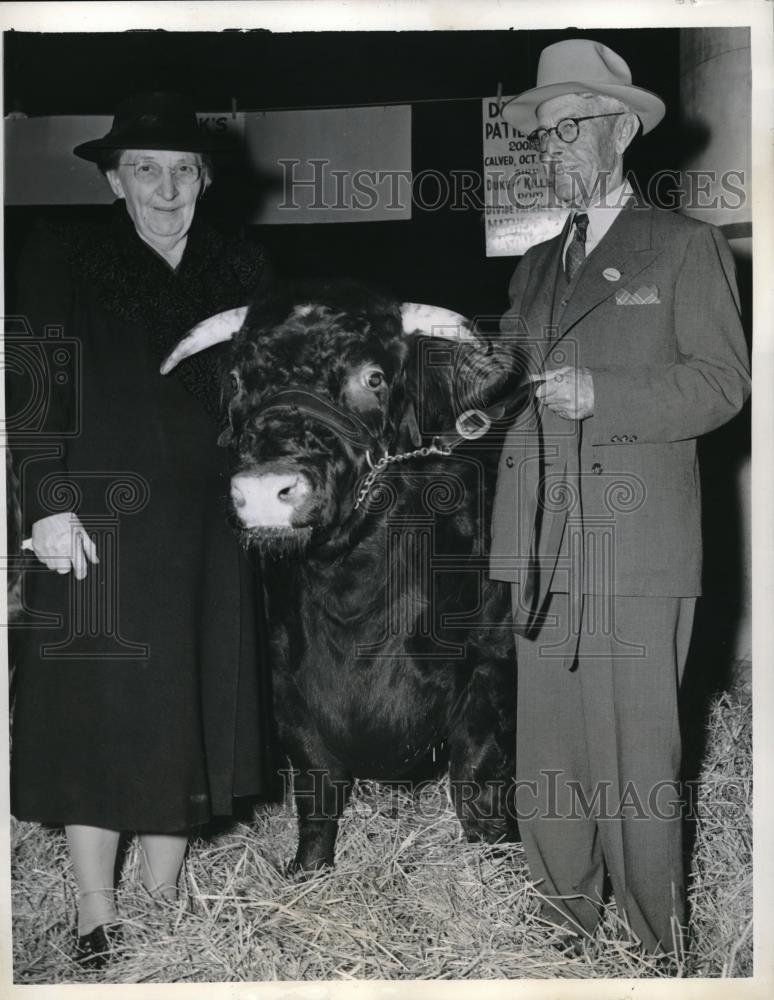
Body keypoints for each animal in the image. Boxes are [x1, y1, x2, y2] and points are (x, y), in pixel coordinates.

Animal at [161, 282, 532, 868]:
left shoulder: (493, 664)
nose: (264, 490)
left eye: (373, 377)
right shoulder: (286, 687)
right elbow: (318, 787)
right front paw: (308, 869)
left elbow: (476, 777)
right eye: (238, 380)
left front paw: (494, 862)